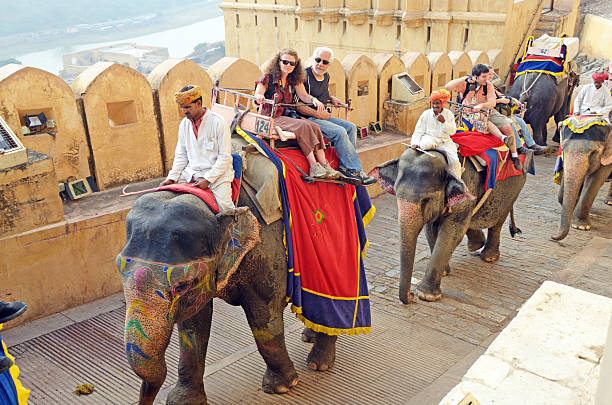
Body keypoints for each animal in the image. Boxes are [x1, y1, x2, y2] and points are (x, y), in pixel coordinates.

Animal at [118, 185, 340, 402]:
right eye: (119, 269)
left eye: (182, 286)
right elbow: (193, 326)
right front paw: (183, 400)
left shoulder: (266, 251)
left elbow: (263, 318)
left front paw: (281, 387)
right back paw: (309, 337)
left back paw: (318, 364)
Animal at [370, 150, 528, 302]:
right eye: (397, 195)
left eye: (425, 200)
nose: (410, 295)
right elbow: (431, 230)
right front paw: (445, 272)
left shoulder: (467, 185)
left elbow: (451, 232)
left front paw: (426, 295)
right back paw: (475, 245)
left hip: (514, 188)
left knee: (498, 220)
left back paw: (489, 257)